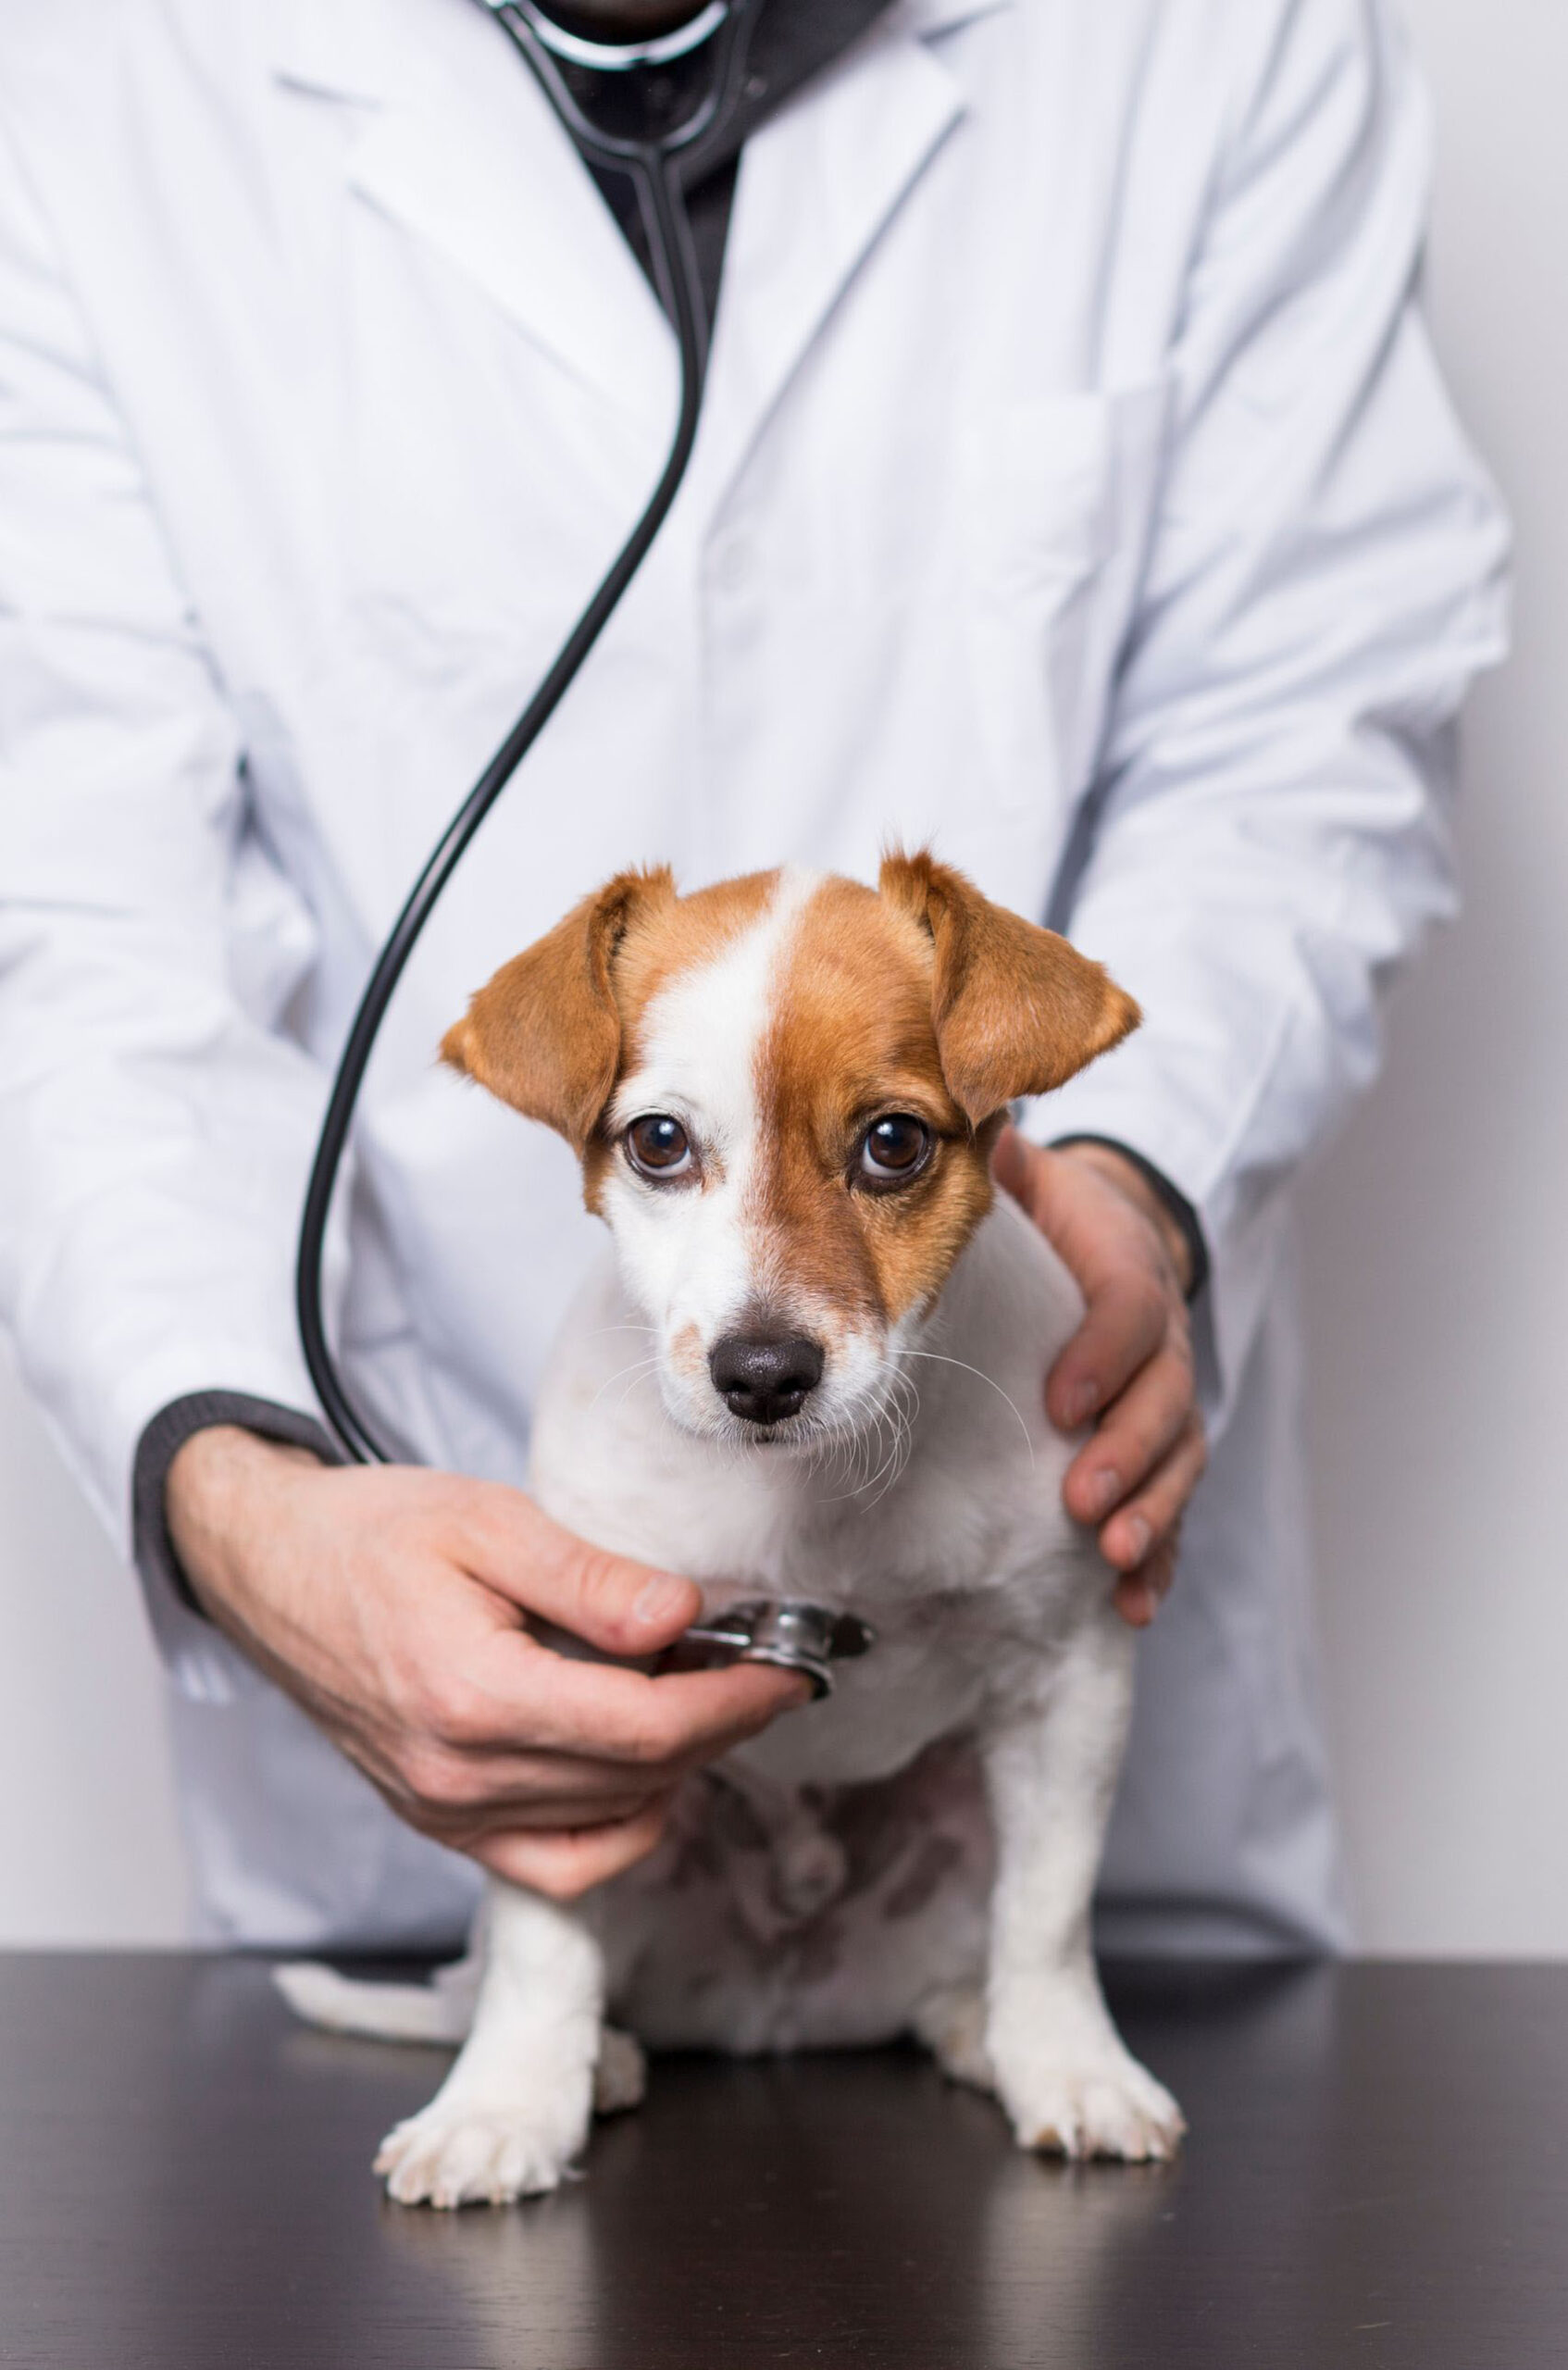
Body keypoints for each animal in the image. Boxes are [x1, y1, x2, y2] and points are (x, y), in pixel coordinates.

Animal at [279, 853, 1193, 2199]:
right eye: (657, 1142)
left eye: (892, 1143)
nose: (762, 1374)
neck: (810, 1501)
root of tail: (776, 2010)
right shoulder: (564, 1694)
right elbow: (544, 1944)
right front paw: (506, 2104)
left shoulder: (1068, 1679)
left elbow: (1048, 1916)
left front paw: (1069, 2068)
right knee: (525, 1967)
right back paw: (596, 2059)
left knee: (973, 1949)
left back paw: (973, 2028)